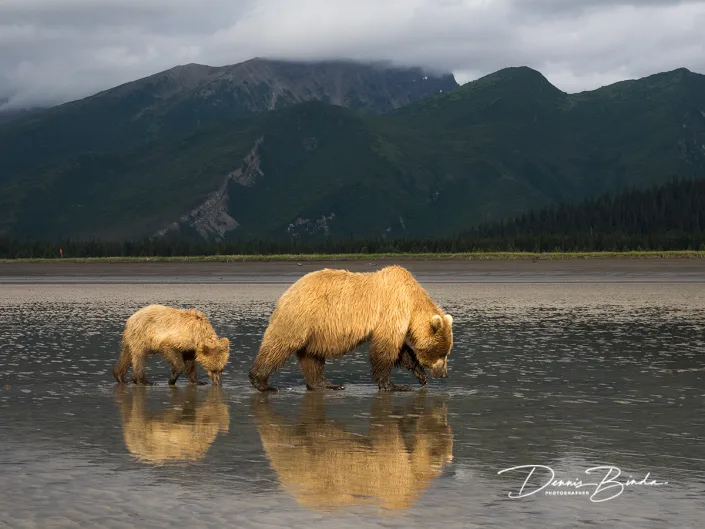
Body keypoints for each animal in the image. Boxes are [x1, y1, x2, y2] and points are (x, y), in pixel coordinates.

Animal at [248, 265, 453, 392]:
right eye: (441, 353)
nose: (443, 374)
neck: (412, 300)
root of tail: (286, 292)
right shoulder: (392, 309)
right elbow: (384, 350)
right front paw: (394, 385)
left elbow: (401, 351)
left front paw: (420, 374)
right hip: (301, 317)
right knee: (279, 345)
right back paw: (262, 382)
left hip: (315, 331)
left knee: (312, 357)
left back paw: (325, 384)